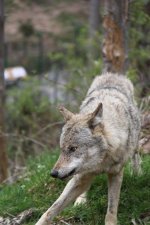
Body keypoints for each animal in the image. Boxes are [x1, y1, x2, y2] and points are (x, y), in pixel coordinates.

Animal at [36, 72, 141, 225]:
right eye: (62, 149)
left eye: (73, 148)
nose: (53, 173)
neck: (101, 162)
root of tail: (113, 74)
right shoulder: (82, 176)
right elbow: (51, 210)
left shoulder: (115, 174)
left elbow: (111, 209)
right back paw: (81, 200)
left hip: (136, 139)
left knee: (136, 154)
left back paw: (137, 173)